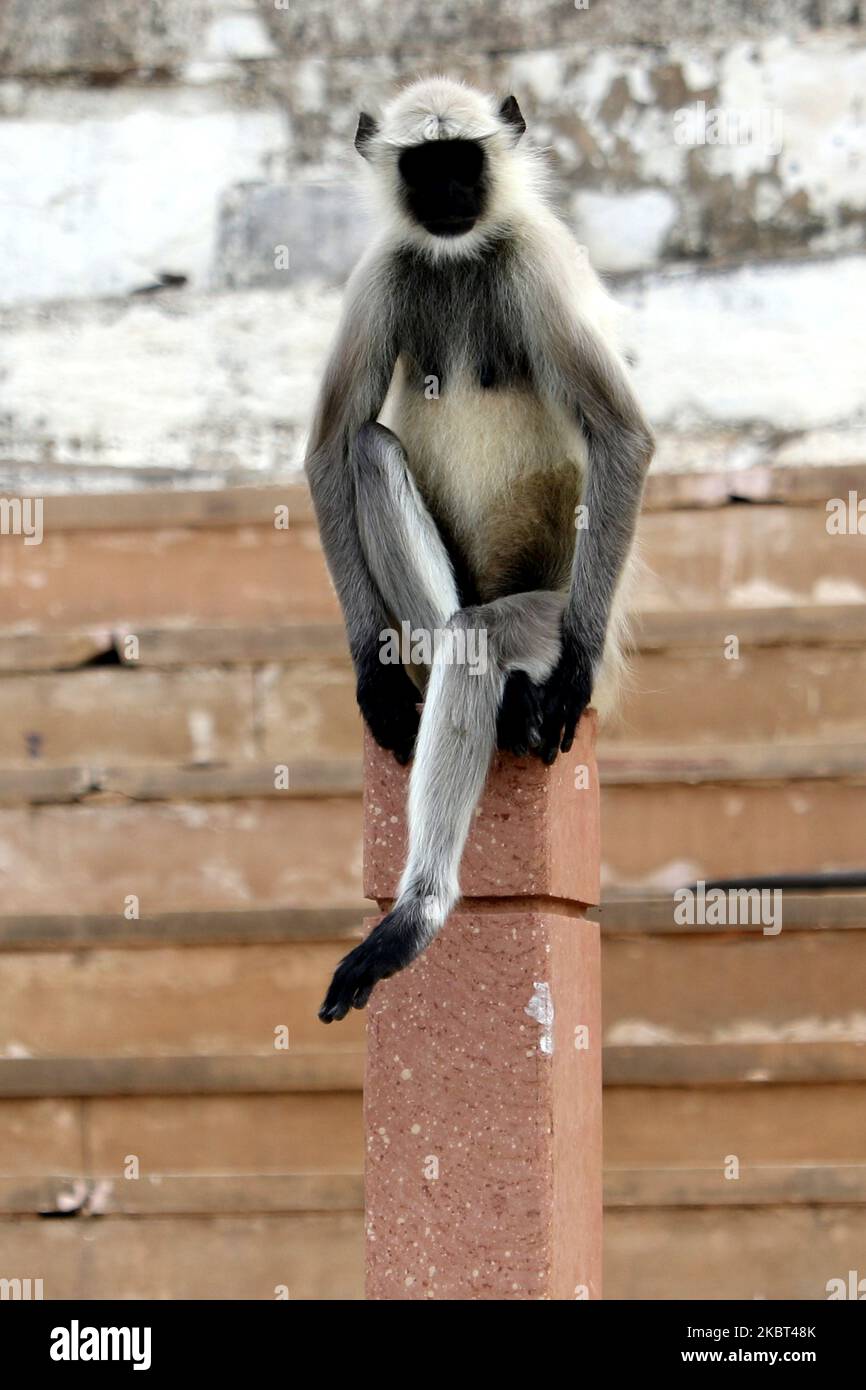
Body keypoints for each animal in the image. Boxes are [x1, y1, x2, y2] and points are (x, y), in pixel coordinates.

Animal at [308, 81, 653, 1028]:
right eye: (425, 164)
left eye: (464, 158)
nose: (451, 193)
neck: (458, 258)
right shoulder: (381, 272)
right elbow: (330, 452)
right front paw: (374, 675)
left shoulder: (535, 261)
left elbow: (622, 438)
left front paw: (565, 679)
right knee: (373, 459)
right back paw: (488, 699)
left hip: (556, 609)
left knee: (482, 636)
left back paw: (420, 910)